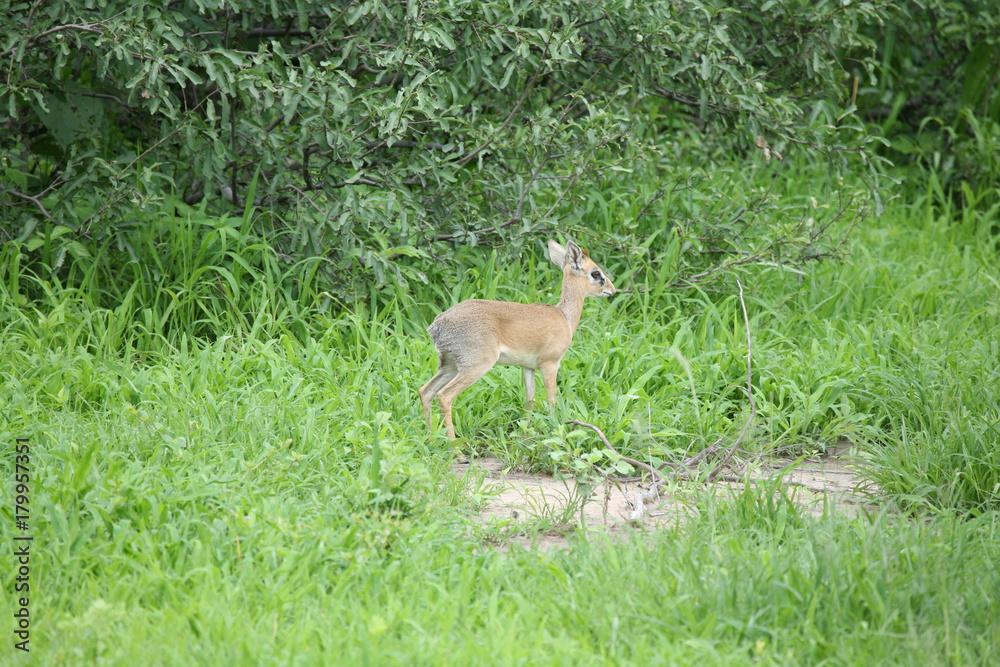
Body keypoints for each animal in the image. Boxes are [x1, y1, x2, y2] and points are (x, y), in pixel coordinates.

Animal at [418, 239, 612, 438]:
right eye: (596, 273)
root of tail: (437, 325)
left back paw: (431, 438)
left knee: (426, 391)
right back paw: (453, 444)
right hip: (476, 366)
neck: (564, 317)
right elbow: (552, 400)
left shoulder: (528, 367)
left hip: (450, 365)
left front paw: (525, 435)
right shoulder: (550, 364)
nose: (611, 290)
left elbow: (530, 399)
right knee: (444, 396)